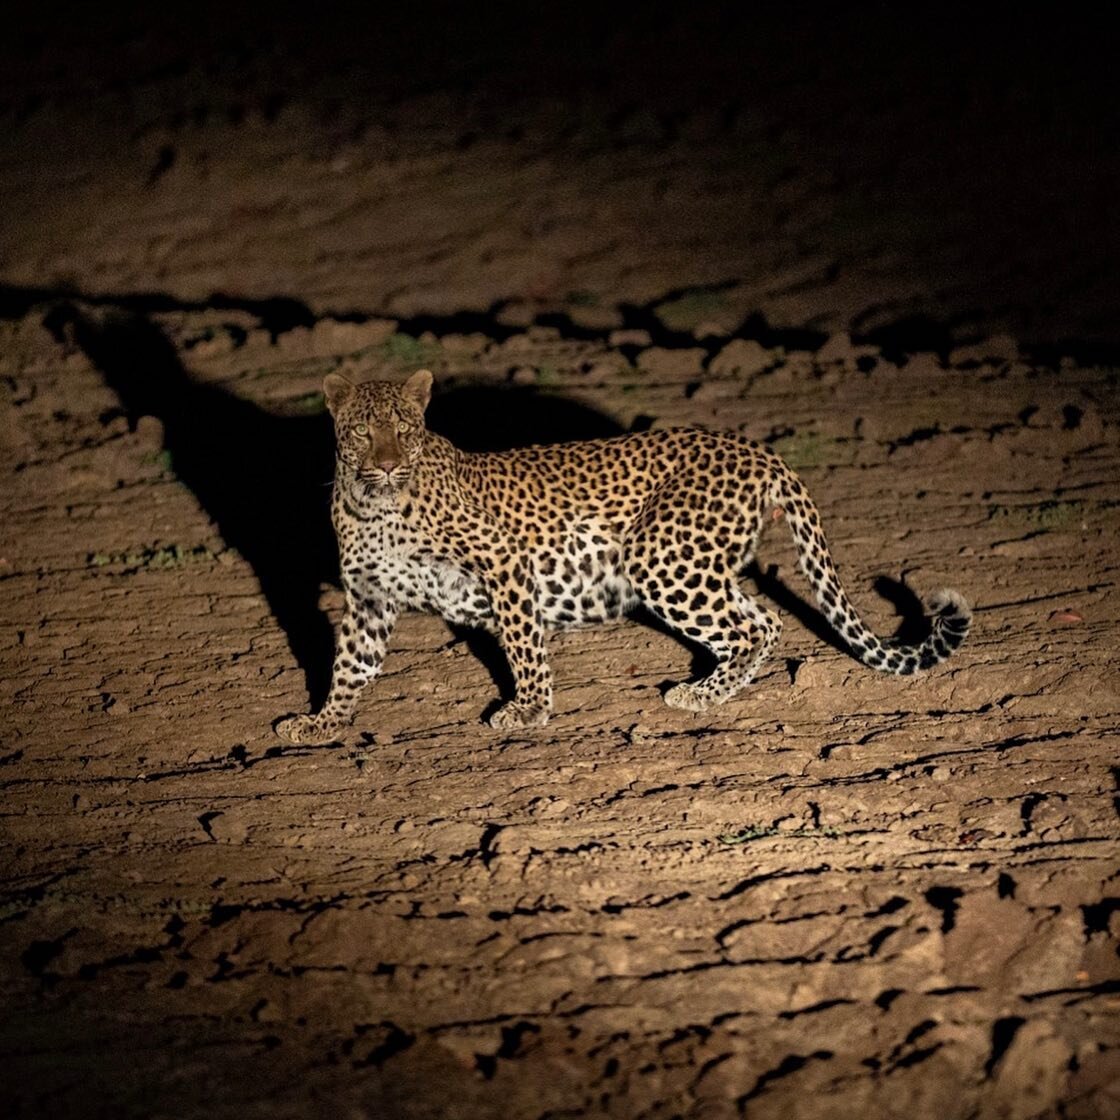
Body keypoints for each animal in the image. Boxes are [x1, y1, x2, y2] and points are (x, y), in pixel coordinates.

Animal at [273, 369, 972, 743]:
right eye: (364, 431)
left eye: (405, 430)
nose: (389, 464)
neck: (375, 506)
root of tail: (760, 451)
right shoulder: (369, 600)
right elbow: (350, 666)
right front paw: (321, 724)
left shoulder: (505, 563)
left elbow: (523, 644)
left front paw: (529, 710)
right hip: (698, 562)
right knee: (765, 619)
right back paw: (710, 692)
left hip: (660, 555)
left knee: (753, 627)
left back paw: (696, 696)